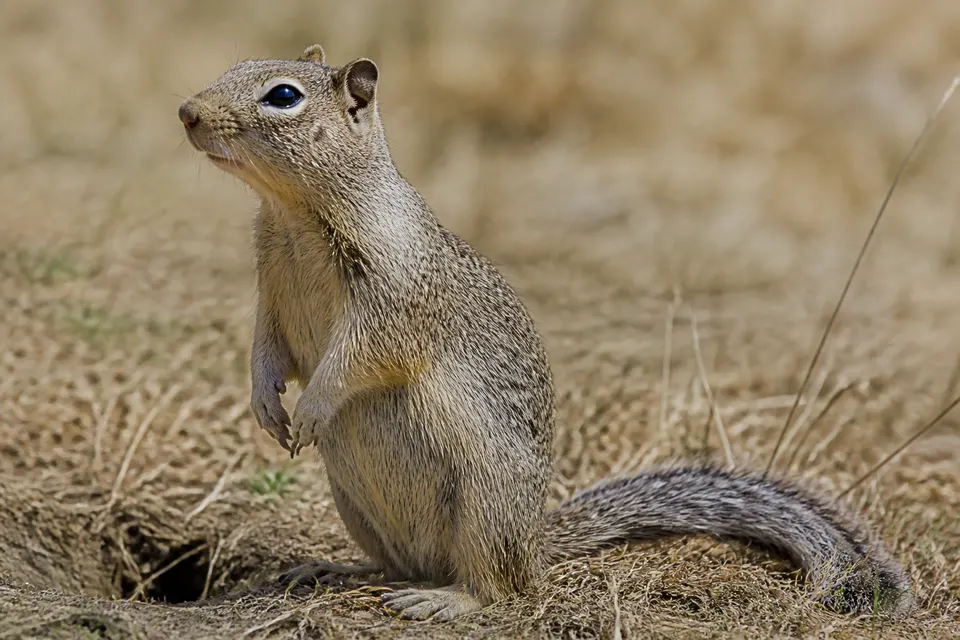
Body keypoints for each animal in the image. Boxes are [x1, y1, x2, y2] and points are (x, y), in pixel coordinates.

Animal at [177, 44, 914, 622]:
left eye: (283, 96)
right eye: (235, 66)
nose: (187, 112)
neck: (293, 213)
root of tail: (536, 542)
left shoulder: (395, 298)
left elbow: (359, 358)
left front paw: (309, 410)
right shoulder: (270, 292)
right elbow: (266, 349)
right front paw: (265, 404)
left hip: (485, 501)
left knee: (499, 587)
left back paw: (447, 600)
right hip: (354, 505)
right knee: (400, 565)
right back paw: (340, 571)